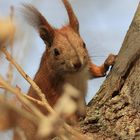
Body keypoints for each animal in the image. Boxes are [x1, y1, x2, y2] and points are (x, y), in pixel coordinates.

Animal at [13, 0, 116, 139]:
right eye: (56, 52)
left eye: (83, 44)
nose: (77, 63)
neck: (74, 74)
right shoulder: (52, 88)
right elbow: (59, 109)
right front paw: (74, 121)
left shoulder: (86, 69)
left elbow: (95, 71)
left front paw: (108, 61)